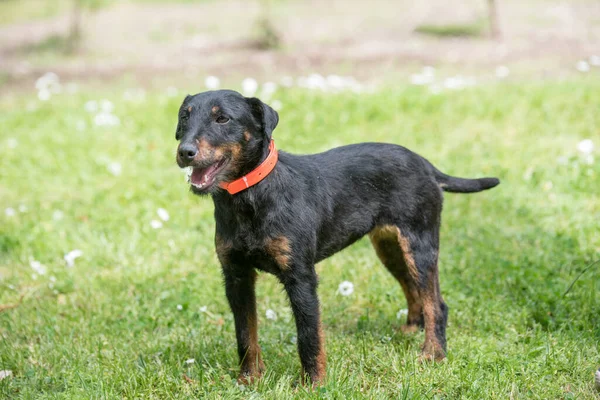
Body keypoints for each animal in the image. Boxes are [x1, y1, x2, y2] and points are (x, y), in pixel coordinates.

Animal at [175, 90, 502, 384]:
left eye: (222, 118)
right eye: (184, 117)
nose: (184, 152)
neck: (251, 194)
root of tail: (426, 165)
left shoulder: (300, 277)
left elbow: (309, 336)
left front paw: (313, 384)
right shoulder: (236, 275)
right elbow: (245, 334)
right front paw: (248, 379)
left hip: (419, 245)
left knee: (437, 304)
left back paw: (433, 353)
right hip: (390, 248)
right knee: (414, 291)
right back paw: (410, 331)